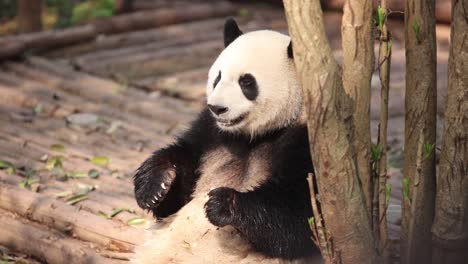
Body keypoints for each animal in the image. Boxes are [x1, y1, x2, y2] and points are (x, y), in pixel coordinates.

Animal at [133, 18, 320, 264]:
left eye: (247, 82)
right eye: (218, 77)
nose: (218, 108)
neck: (254, 135)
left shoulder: (306, 139)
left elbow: (301, 211)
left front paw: (223, 203)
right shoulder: (210, 132)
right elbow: (182, 171)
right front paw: (157, 184)